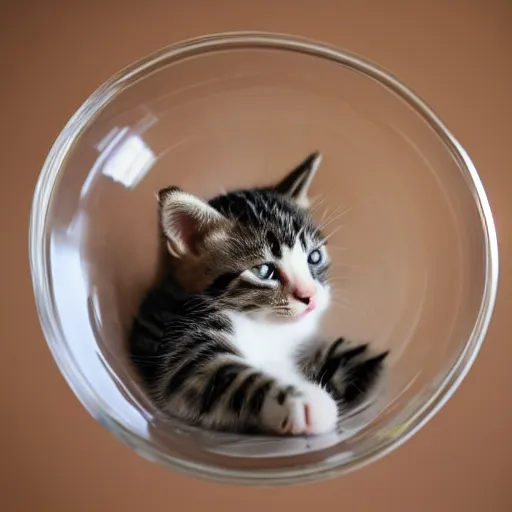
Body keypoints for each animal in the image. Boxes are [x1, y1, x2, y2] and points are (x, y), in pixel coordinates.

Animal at [129, 153, 388, 436]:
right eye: (264, 271)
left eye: (314, 257)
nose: (310, 296)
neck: (265, 324)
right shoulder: (181, 345)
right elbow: (224, 375)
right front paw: (306, 403)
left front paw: (371, 364)